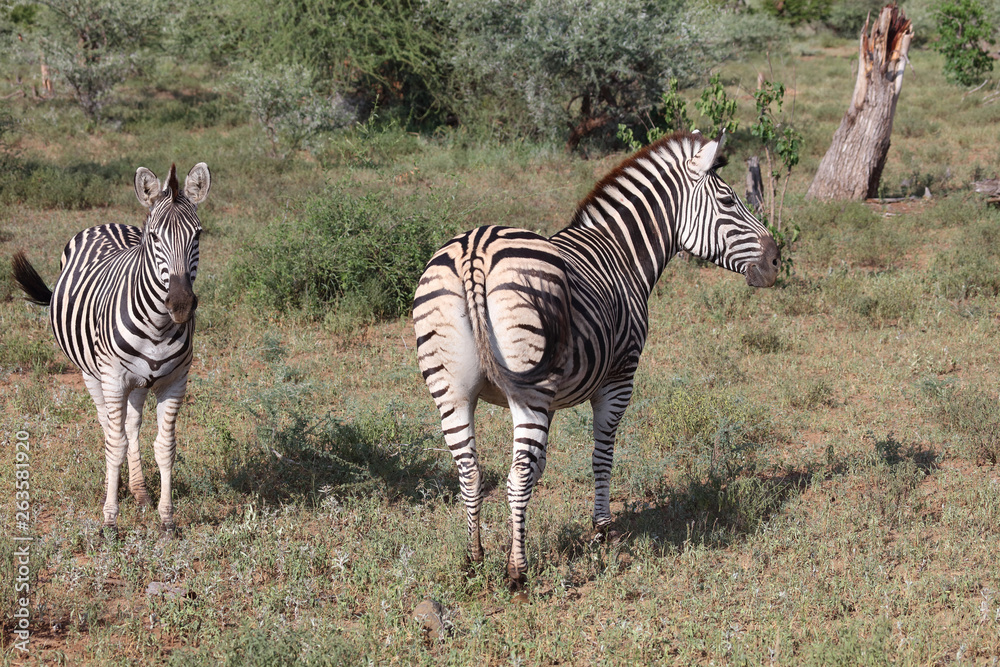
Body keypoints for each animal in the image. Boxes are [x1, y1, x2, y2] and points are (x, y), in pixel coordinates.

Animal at [11, 163, 211, 538]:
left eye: (198, 235)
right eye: (154, 237)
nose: (180, 305)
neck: (158, 326)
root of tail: (105, 223)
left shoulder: (175, 381)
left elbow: (165, 448)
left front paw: (166, 519)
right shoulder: (114, 379)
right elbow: (114, 444)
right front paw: (110, 520)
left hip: (140, 382)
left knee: (131, 425)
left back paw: (140, 491)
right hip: (92, 373)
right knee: (109, 426)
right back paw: (115, 487)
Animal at [412, 131, 779, 587]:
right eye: (729, 200)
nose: (777, 260)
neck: (623, 253)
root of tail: (473, 252)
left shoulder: (553, 397)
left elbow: (541, 465)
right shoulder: (619, 378)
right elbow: (601, 455)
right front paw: (602, 528)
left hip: (452, 390)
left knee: (470, 471)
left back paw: (474, 558)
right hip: (529, 388)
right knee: (515, 476)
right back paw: (518, 571)